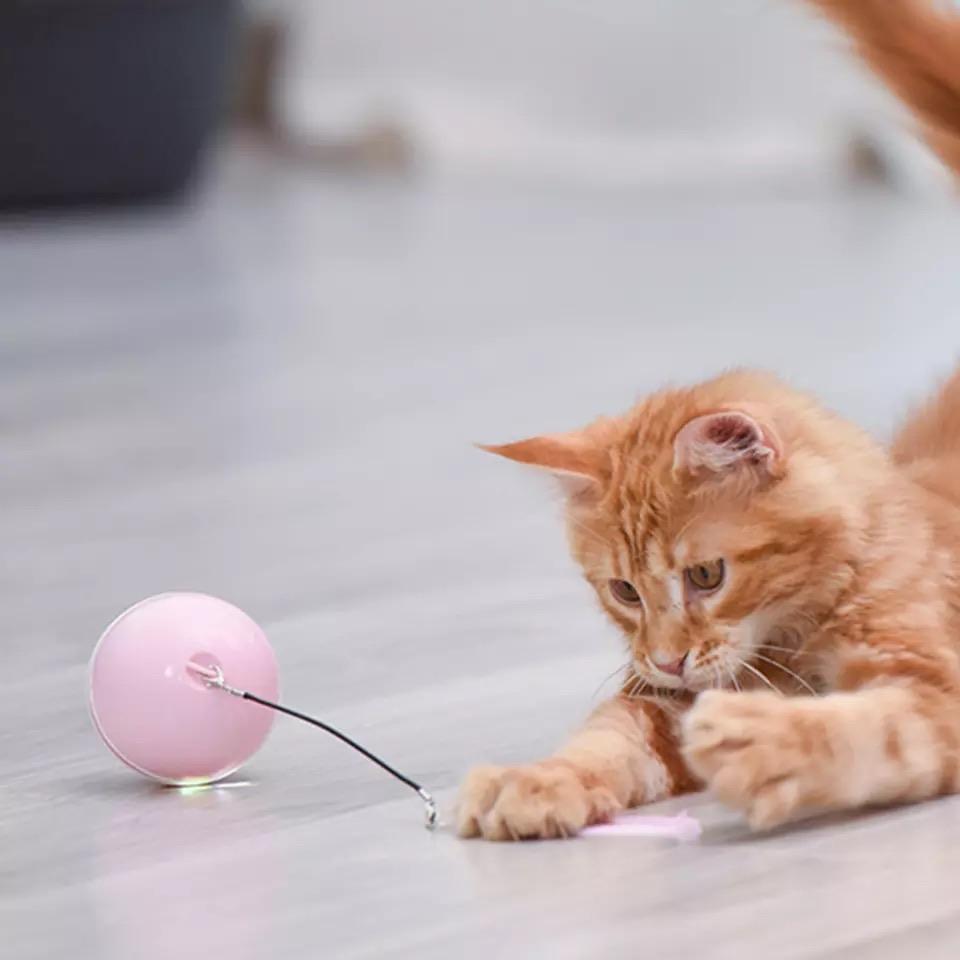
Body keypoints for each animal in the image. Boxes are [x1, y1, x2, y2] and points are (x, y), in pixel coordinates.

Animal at [454, 372, 960, 836]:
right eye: (625, 590)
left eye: (705, 576)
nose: (667, 661)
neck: (789, 640)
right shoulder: (659, 698)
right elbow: (608, 734)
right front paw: (535, 777)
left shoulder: (936, 688)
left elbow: (876, 728)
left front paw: (763, 739)